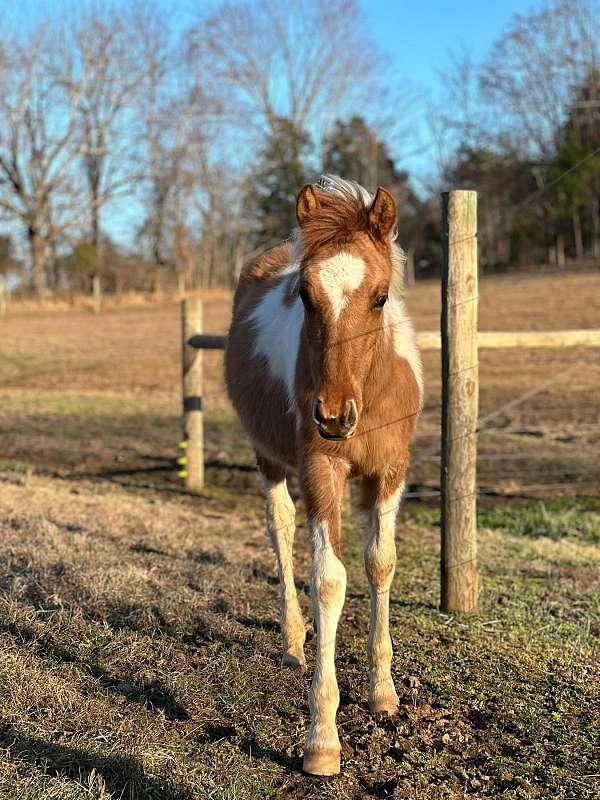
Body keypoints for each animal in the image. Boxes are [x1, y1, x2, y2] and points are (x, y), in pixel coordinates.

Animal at [225, 175, 422, 776]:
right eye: (305, 296)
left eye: (380, 296)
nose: (333, 417)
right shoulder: (321, 472)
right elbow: (330, 580)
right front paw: (322, 741)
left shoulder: (391, 470)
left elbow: (380, 563)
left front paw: (383, 694)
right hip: (268, 457)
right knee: (280, 525)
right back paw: (293, 644)